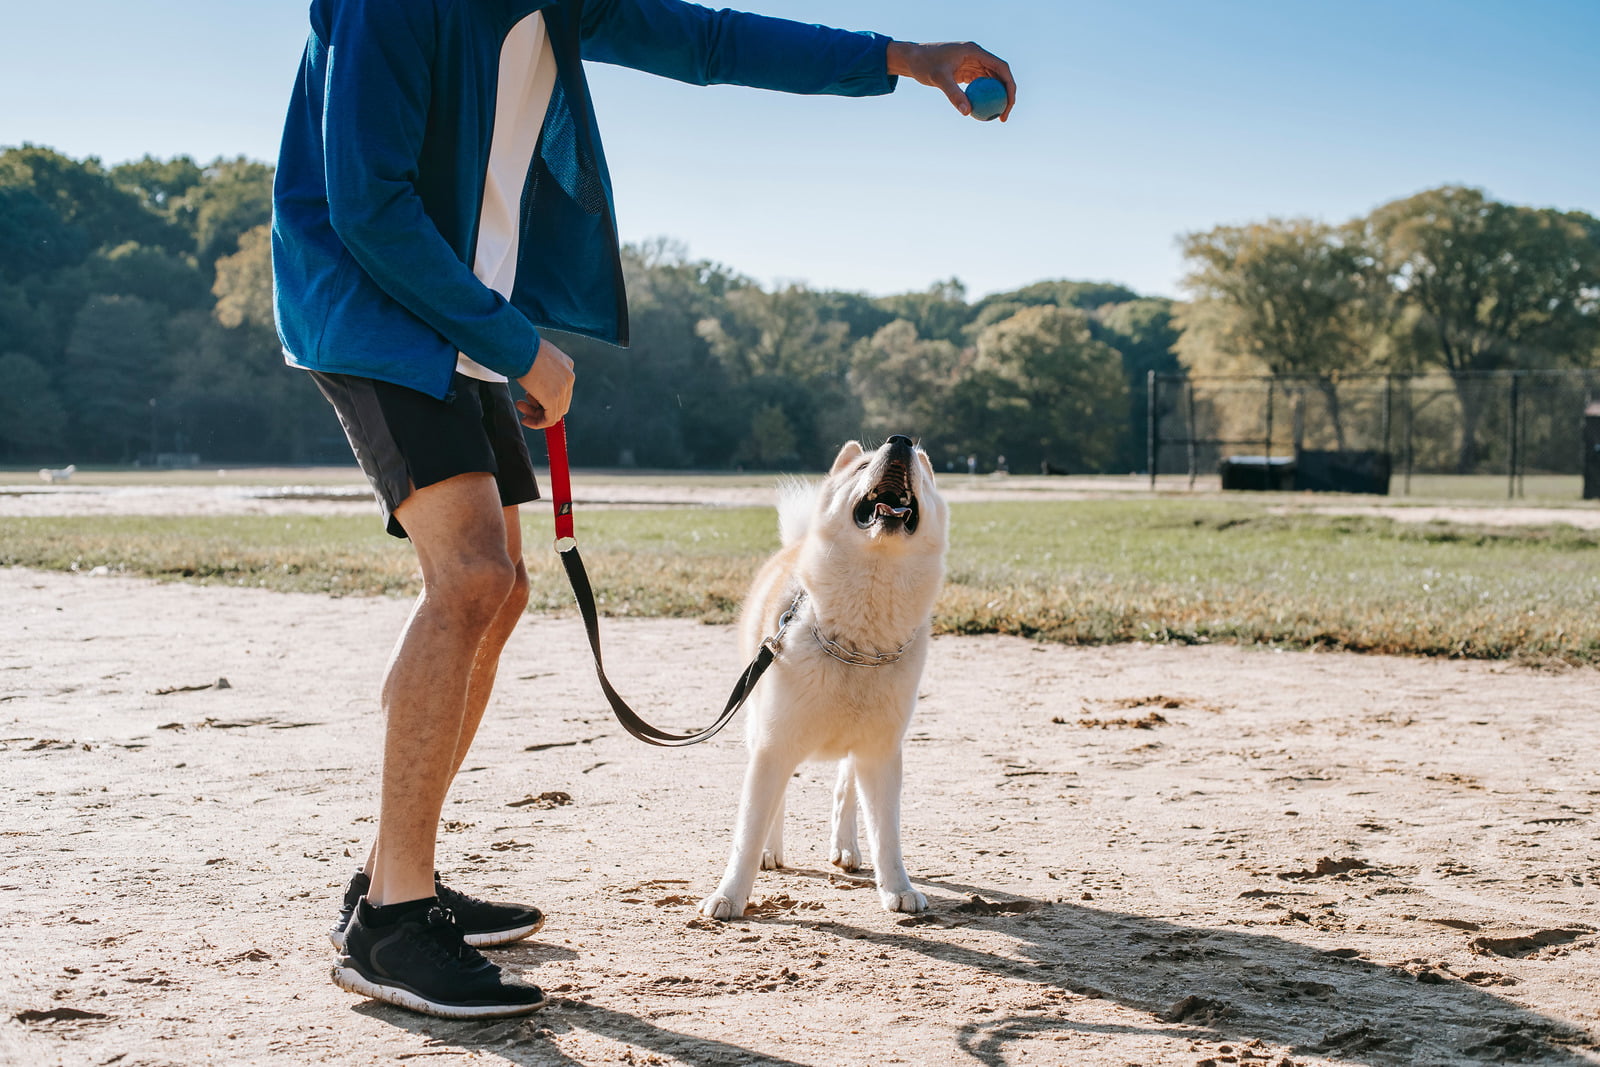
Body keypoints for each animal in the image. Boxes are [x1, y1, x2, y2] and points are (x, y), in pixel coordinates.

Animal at [704, 435, 947, 921]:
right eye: (863, 466)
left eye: (922, 469)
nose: (900, 441)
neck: (858, 647)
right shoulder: (774, 744)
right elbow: (748, 831)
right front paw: (730, 895)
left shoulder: (880, 752)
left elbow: (886, 832)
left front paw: (897, 888)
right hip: (760, 728)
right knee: (776, 803)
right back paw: (772, 851)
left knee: (845, 791)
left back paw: (847, 847)